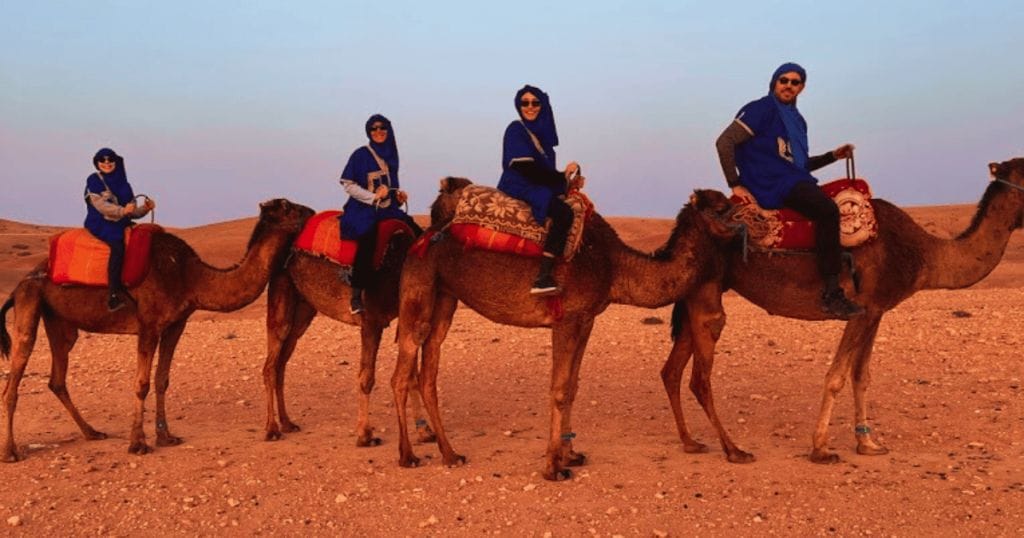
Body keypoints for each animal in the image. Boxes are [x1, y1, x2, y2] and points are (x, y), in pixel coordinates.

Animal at [1, 198, 311, 459]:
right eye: (288, 207)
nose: (310, 211)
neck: (190, 277)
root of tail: (22, 281)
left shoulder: (176, 324)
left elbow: (162, 380)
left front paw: (166, 436)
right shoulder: (148, 324)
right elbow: (142, 383)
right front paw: (138, 443)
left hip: (60, 323)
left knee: (57, 378)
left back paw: (92, 432)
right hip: (30, 301)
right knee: (15, 374)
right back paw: (10, 452)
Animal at [389, 182, 737, 479]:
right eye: (722, 206)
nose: (744, 216)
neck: (613, 265)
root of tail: (423, 237)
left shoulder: (586, 320)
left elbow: (572, 387)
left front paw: (570, 455)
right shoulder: (566, 319)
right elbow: (558, 389)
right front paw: (553, 467)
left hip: (445, 297)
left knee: (428, 370)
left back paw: (450, 454)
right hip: (418, 289)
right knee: (402, 371)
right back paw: (408, 456)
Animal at [663, 157, 1024, 463]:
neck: (924, 253)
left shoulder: (876, 310)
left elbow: (861, 376)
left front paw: (868, 442)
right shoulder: (861, 308)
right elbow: (836, 376)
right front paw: (821, 448)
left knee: (672, 370)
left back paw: (691, 441)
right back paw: (730, 449)